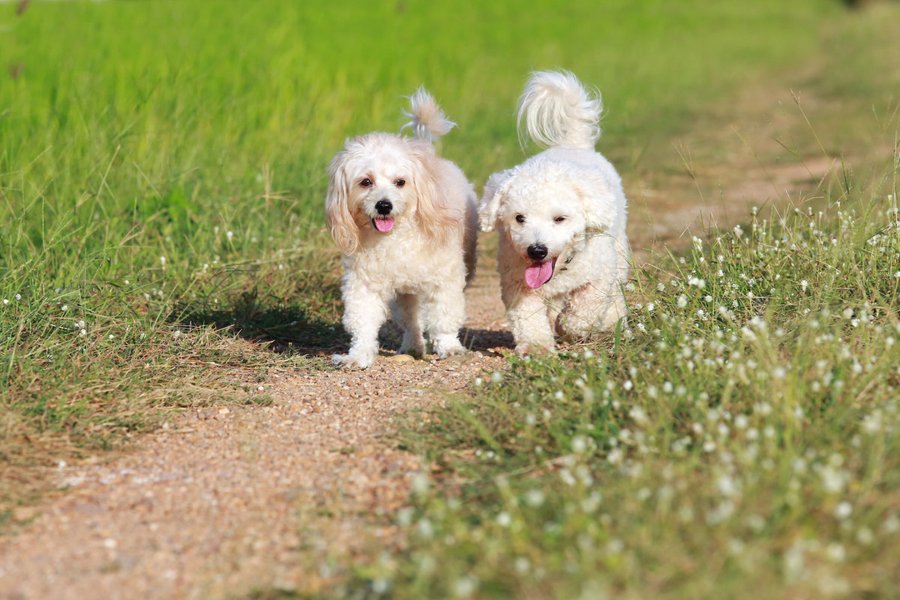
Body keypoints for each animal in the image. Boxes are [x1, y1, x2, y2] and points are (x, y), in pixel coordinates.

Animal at [326, 89, 478, 370]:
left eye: (400, 182)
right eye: (366, 182)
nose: (384, 205)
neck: (395, 238)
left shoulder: (444, 278)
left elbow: (444, 316)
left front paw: (450, 347)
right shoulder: (363, 283)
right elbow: (363, 321)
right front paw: (357, 356)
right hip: (405, 294)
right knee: (412, 321)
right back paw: (413, 345)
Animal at [478, 70, 632, 354]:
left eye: (560, 219)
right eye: (519, 218)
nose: (537, 250)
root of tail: (574, 144)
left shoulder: (599, 277)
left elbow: (585, 309)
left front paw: (570, 327)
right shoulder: (518, 284)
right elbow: (527, 318)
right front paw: (536, 347)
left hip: (618, 253)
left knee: (614, 294)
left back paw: (609, 322)